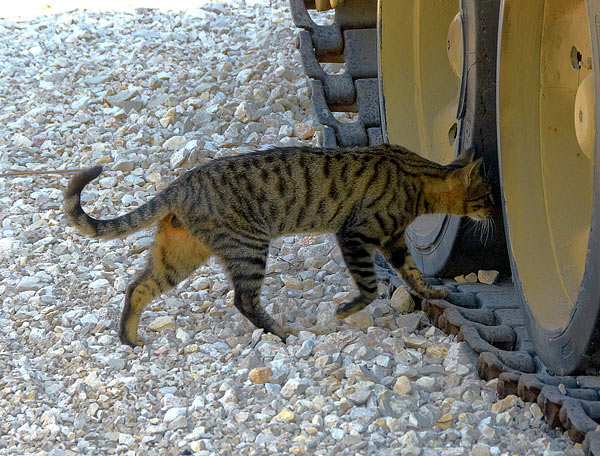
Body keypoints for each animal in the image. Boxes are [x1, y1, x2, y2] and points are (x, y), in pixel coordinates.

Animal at [64, 144, 492, 348]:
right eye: (487, 194)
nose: (493, 211)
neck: (416, 178)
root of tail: (181, 184)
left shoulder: (394, 241)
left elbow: (413, 274)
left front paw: (434, 292)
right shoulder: (356, 234)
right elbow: (370, 286)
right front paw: (346, 310)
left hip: (180, 255)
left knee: (137, 288)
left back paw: (129, 339)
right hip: (249, 246)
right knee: (243, 300)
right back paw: (282, 332)